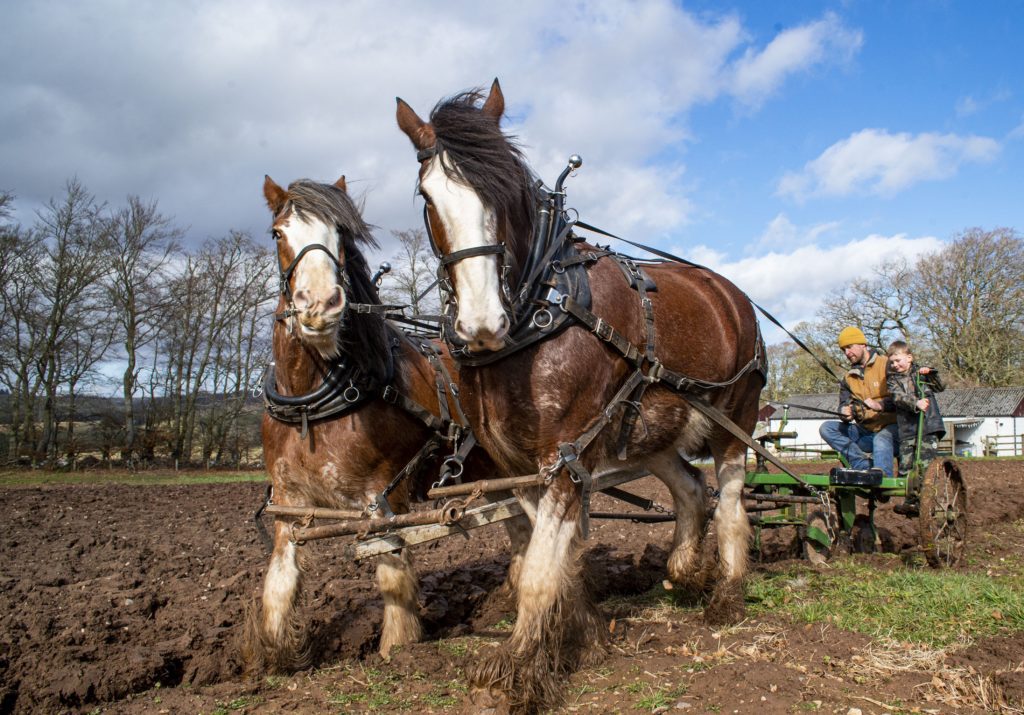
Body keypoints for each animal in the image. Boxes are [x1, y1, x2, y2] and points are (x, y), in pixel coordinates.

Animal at [242, 175, 524, 671]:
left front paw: (399, 647)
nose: (319, 304)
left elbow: (391, 570)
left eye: (341, 235)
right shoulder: (290, 503)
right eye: (278, 233)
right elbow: (279, 582)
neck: (310, 406)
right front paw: (275, 655)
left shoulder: (380, 495)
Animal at [395, 80, 765, 708]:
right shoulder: (518, 465)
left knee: (732, 501)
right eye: (427, 195)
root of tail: (729, 293)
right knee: (692, 491)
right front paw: (585, 637)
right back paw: (686, 570)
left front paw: (519, 667)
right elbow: (551, 562)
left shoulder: (565, 454)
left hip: (731, 417)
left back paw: (726, 594)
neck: (534, 315)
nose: (480, 323)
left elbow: (540, 571)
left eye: (507, 188)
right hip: (650, 430)